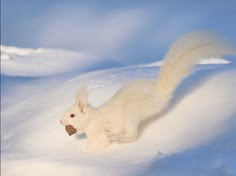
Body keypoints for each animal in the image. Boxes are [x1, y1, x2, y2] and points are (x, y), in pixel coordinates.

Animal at [60, 31, 235, 152]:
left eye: (72, 115)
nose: (61, 121)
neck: (93, 119)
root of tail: (158, 95)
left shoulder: (98, 134)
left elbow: (99, 144)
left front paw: (87, 153)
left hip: (131, 113)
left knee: (133, 135)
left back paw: (120, 138)